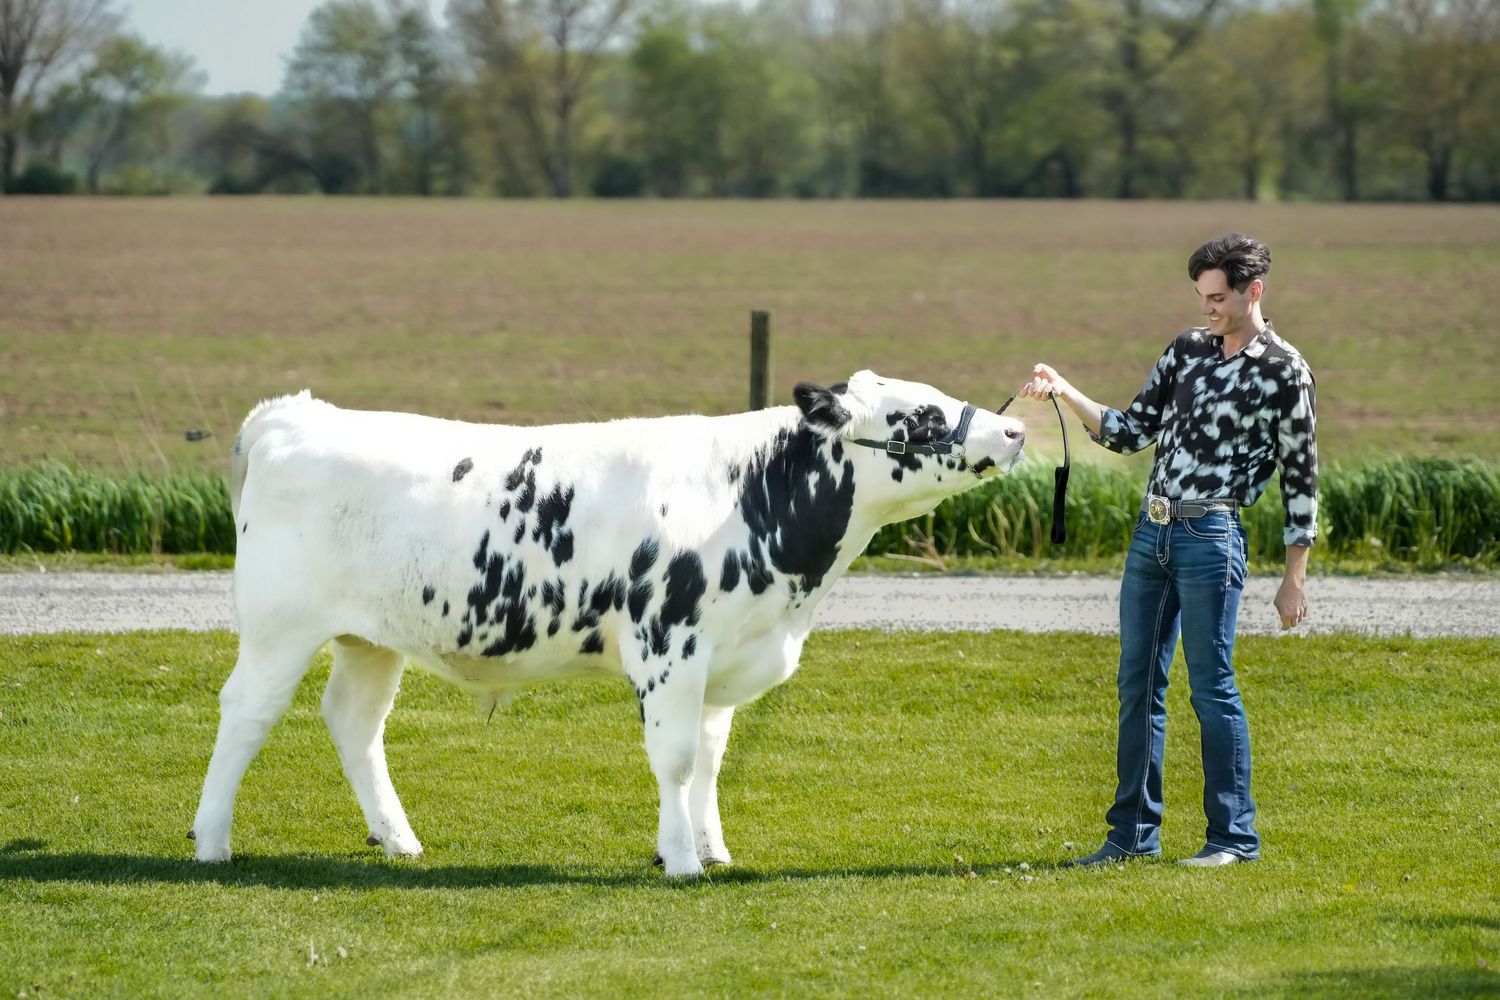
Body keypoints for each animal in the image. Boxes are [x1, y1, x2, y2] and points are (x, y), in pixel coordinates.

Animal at [189, 370, 1025, 877]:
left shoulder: (723, 657)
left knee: (354, 723)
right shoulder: (671, 647)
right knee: (246, 714)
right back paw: (211, 841)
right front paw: (679, 861)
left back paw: (398, 839)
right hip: (278, 628)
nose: (1015, 434)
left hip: (372, 638)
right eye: (921, 416)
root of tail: (297, 413)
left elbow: (711, 761)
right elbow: (677, 761)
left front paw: (711, 848)